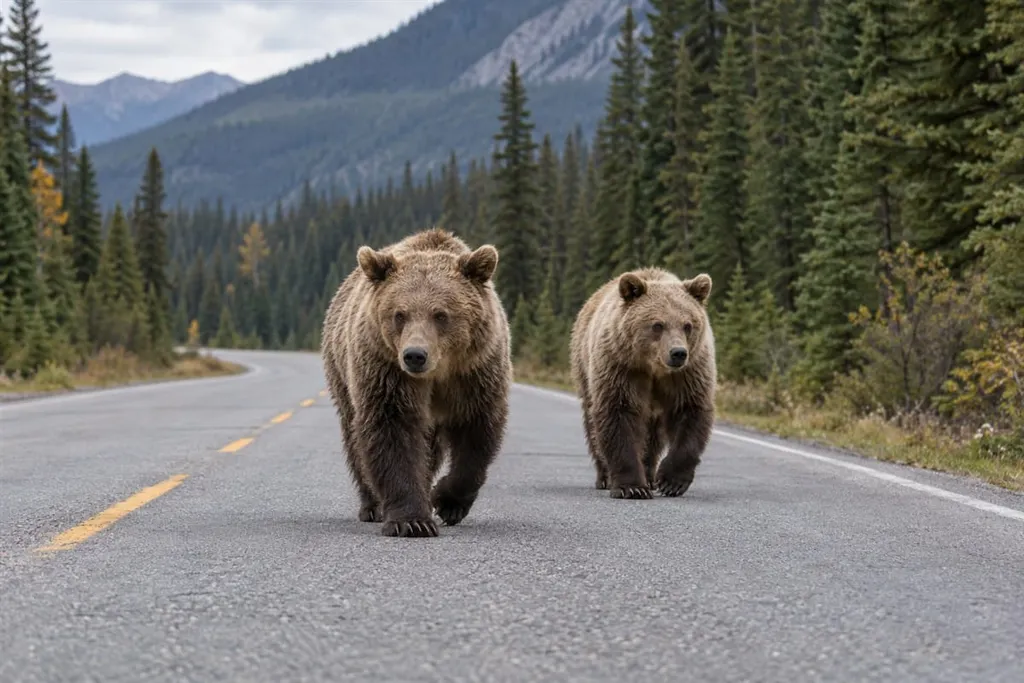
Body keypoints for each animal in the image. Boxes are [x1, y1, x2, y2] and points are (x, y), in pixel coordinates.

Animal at [320, 228, 512, 537]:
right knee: (355, 438)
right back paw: (372, 504)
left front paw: (447, 502)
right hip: (342, 371)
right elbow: (392, 431)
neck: (438, 373)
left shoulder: (475, 374)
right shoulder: (386, 371)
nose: (414, 355)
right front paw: (412, 520)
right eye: (399, 314)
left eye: (441, 314)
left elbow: (476, 435)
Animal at [569, 267, 716, 500]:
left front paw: (670, 482)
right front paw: (631, 487)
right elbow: (619, 414)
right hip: (584, 365)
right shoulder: (622, 367)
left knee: (653, 436)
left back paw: (649, 474)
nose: (678, 353)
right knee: (592, 424)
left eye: (687, 325)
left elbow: (690, 413)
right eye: (658, 325)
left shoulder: (689, 373)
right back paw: (604, 477)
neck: (654, 367)